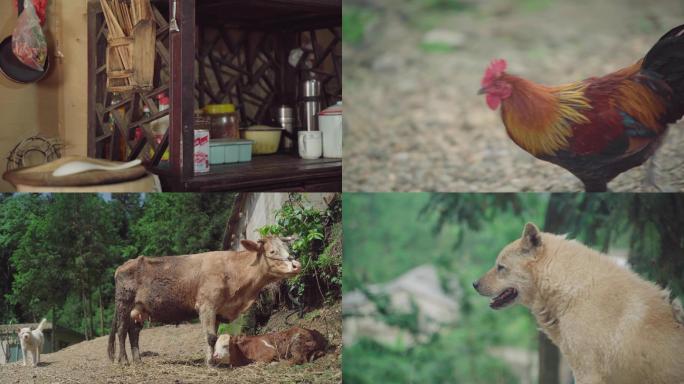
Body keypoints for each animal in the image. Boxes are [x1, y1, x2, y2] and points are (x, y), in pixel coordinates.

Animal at [107, 237, 300, 366]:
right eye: (272, 251)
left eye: (287, 248)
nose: (296, 265)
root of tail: (123, 266)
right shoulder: (207, 306)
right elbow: (210, 337)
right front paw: (210, 364)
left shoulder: (218, 310)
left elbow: (214, 337)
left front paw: (213, 359)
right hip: (124, 305)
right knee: (122, 331)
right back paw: (123, 361)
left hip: (139, 310)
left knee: (134, 333)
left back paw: (138, 361)